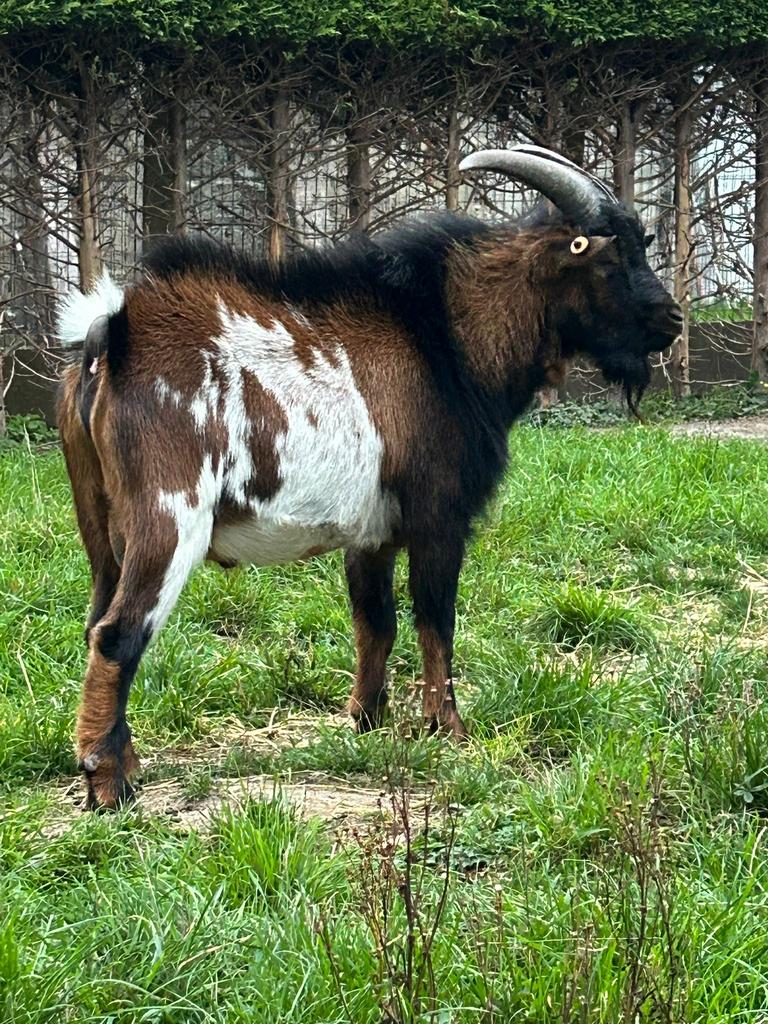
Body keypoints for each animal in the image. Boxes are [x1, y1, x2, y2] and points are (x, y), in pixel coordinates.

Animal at [57, 145, 683, 809]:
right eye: (610, 257)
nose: (671, 320)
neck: (445, 341)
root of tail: (110, 336)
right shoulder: (438, 517)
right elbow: (435, 620)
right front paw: (448, 728)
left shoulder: (370, 532)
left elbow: (375, 623)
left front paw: (367, 720)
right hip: (170, 518)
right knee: (119, 634)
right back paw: (110, 785)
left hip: (100, 528)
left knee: (95, 621)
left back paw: (120, 763)